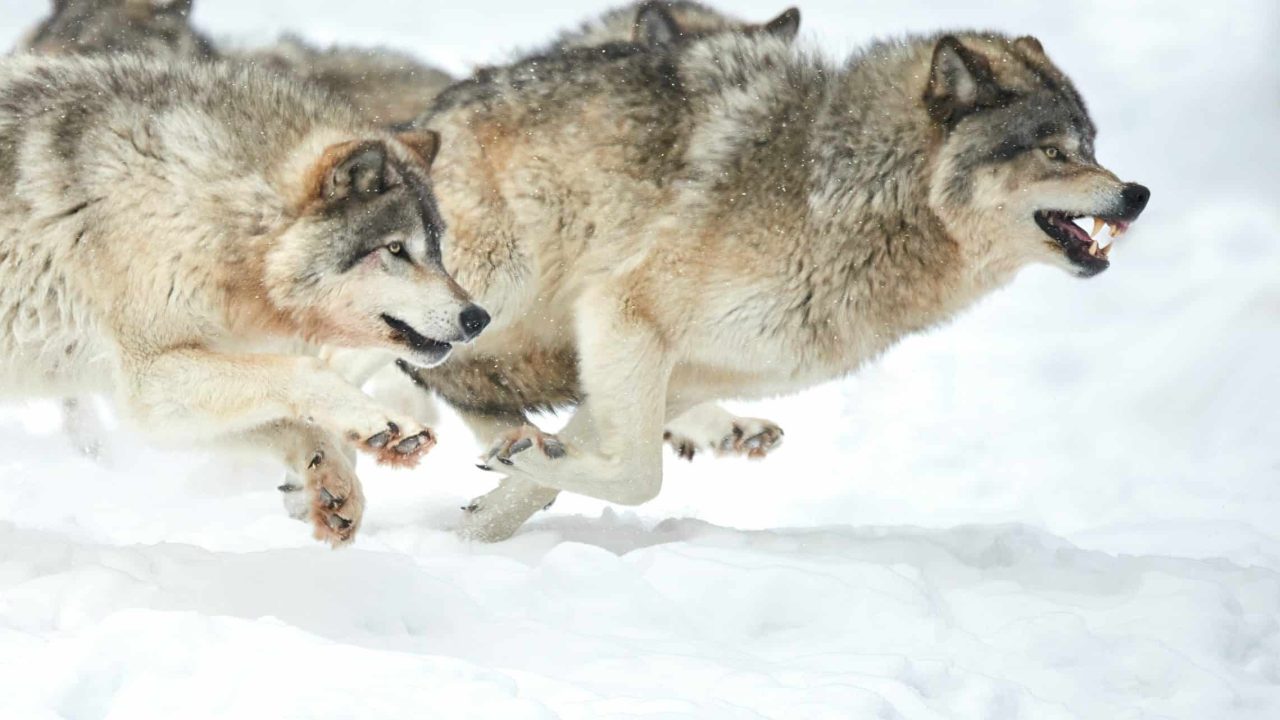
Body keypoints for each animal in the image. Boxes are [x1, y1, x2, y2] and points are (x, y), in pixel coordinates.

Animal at [0, 55, 488, 545]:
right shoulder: (149, 378)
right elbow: (306, 371)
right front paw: (383, 425)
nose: (477, 318)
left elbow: (289, 422)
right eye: (395, 249)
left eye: (436, 247)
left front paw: (332, 482)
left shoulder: (147, 398)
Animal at [404, 31, 1150, 541]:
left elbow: (567, 474)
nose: (1137, 194)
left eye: (1091, 145)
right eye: (1054, 151)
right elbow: (641, 478)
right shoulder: (624, 312)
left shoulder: (673, 370)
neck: (854, 195)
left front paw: (476, 529)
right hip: (490, 291)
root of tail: (418, 122)